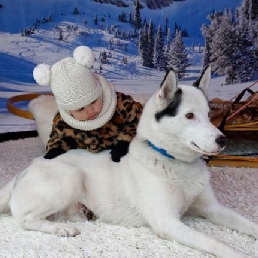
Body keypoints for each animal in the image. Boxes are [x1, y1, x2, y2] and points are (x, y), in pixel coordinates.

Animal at [0, 67, 258, 256]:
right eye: (189, 116)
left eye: (209, 115)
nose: (223, 140)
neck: (172, 161)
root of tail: (23, 171)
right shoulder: (168, 222)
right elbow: (217, 243)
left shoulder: (213, 209)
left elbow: (248, 224)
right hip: (69, 177)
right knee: (24, 219)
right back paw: (60, 228)